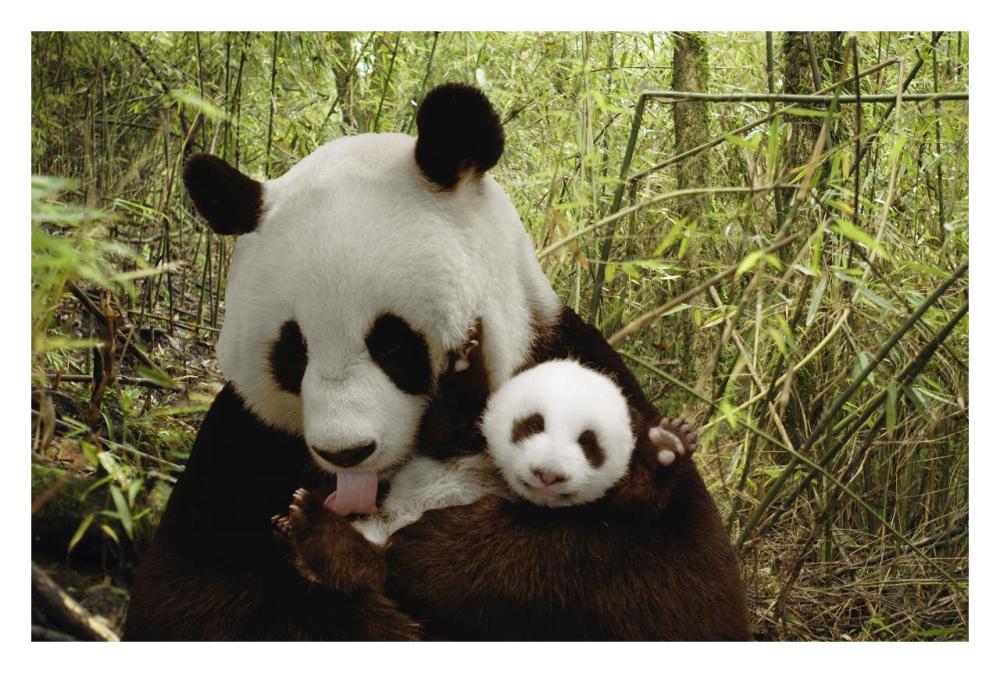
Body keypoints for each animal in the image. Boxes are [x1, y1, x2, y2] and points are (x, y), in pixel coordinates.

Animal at [124, 83, 749, 641]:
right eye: (292, 351)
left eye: (392, 344)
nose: (345, 453)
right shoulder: (243, 441)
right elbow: (192, 595)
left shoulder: (574, 360)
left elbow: (679, 583)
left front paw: (444, 552)